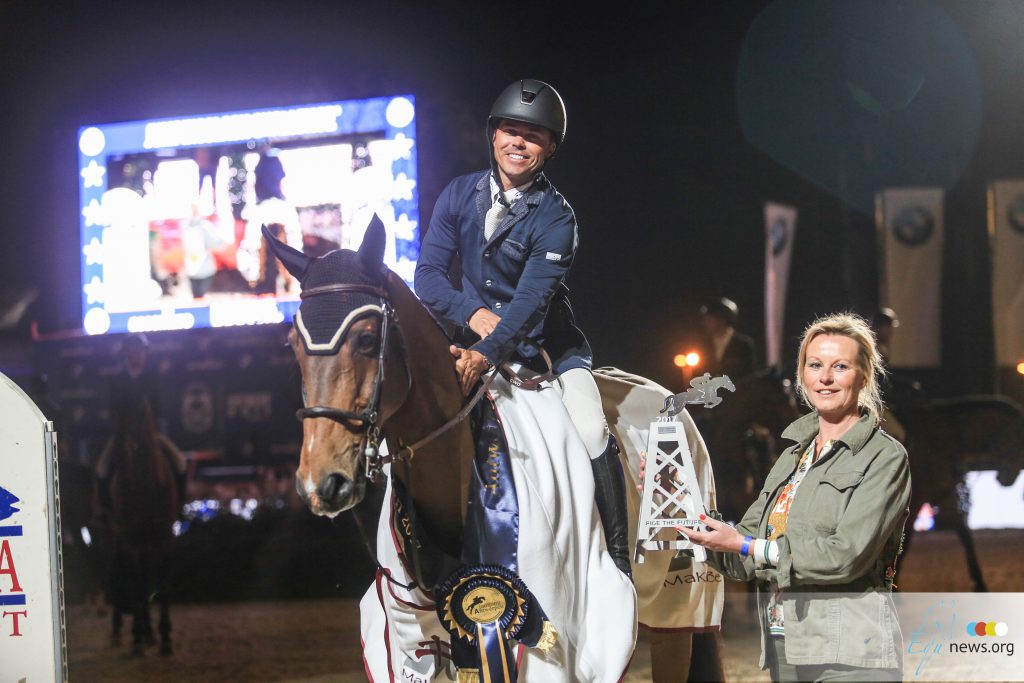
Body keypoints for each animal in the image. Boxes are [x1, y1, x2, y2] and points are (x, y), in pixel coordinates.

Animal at [102, 395, 181, 655]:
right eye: (114, 416)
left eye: (142, 416)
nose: (122, 454)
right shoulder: (130, 542)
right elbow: (136, 584)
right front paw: (137, 637)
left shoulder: (166, 538)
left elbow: (163, 583)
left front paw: (164, 638)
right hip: (114, 537)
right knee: (117, 572)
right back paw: (122, 632)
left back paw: (150, 633)